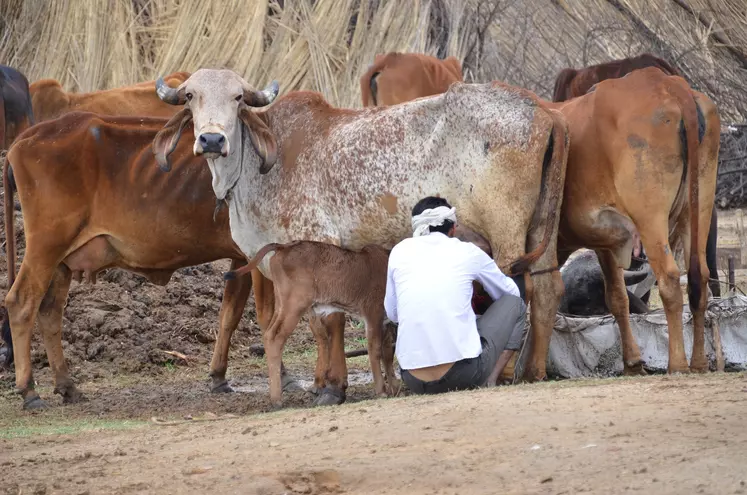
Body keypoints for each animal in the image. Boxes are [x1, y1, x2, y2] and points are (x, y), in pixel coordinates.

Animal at [228, 242, 400, 404]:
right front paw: (382, 391)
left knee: (268, 334)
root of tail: (283, 246)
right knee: (274, 338)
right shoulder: (373, 315)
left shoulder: (385, 321)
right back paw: (277, 399)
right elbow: (375, 351)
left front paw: (394, 388)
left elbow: (387, 353)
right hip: (294, 305)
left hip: (282, 304)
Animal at [528, 67, 720, 380]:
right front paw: (632, 361)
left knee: (669, 278)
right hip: (698, 208)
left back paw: (677, 363)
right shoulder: (607, 242)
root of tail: (666, 83)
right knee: (698, 278)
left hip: (650, 218)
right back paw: (700, 362)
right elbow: (618, 299)